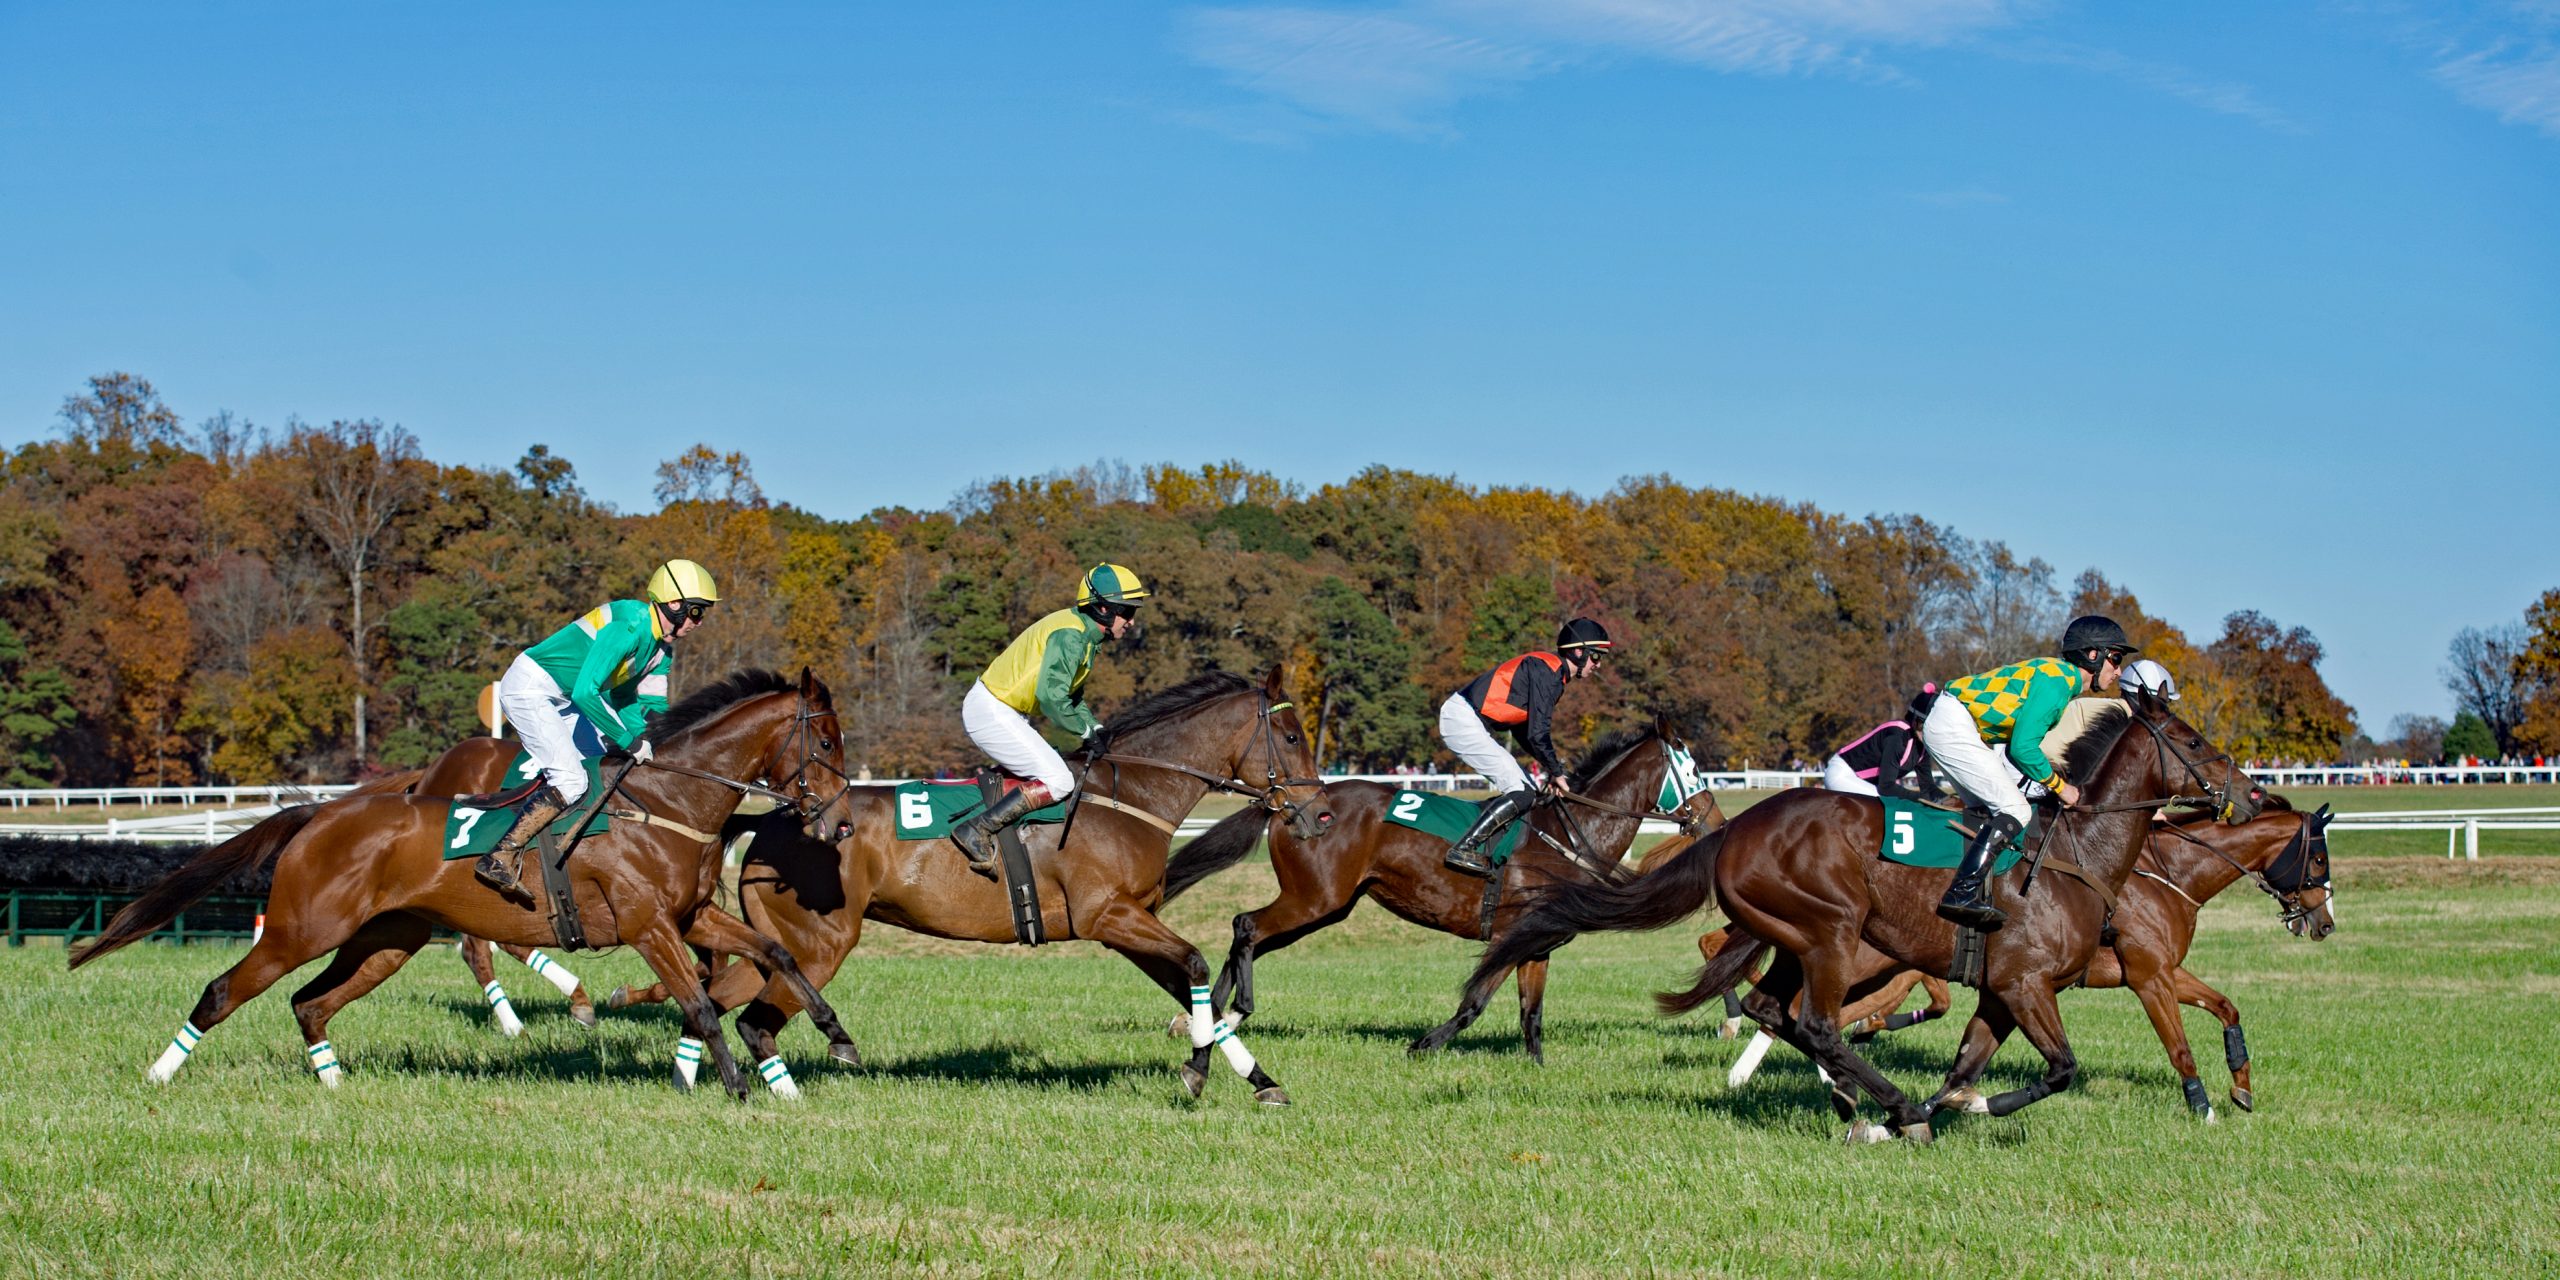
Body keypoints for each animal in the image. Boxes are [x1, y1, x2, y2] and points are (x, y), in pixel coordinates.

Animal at [72, 670, 860, 1100]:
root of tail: (322, 811)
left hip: (386, 940)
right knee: (224, 991)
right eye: (825, 741)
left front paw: (835, 1041)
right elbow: (698, 1004)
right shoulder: (648, 926)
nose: (843, 823)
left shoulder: (692, 917)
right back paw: (158, 1077)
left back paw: (333, 1083)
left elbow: (776, 955)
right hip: (301, 928)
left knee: (310, 1003)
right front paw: (736, 1087)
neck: (668, 802)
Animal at [609, 670, 1331, 1100]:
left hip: (783, 945)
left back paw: (691, 1078)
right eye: (1292, 735)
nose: (1320, 811)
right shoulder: (1110, 917)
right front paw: (1197, 1072)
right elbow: (1198, 965)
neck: (1129, 796)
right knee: (754, 1019)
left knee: (715, 998)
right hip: (821, 943)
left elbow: (1191, 990)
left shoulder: (1127, 928)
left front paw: (1257, 1079)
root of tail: (770, 819)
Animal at [1162, 721, 1720, 1059]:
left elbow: (1532, 1015)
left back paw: (1204, 1017)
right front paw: (1424, 1044)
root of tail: (1290, 803)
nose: (1716, 823)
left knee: (1250, 936)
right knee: (1247, 925)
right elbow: (1475, 1003)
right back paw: (1233, 1009)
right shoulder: (1510, 936)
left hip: (1326, 905)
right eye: (1693, 771)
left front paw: (1538, 1069)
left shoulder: (1538, 942)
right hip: (1314, 898)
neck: (1569, 835)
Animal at [1474, 696, 2252, 1146]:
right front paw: (1958, 1110)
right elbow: (2060, 1069)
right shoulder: (2027, 985)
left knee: (1774, 1009)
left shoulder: (2003, 993)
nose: (2246, 793)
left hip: (1798, 939)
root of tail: (1735, 830)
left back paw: (1863, 1105)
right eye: (2193, 742)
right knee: (1814, 1023)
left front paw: (1945, 1105)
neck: (2075, 856)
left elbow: (1965, 1063)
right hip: (1833, 933)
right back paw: (1887, 1105)